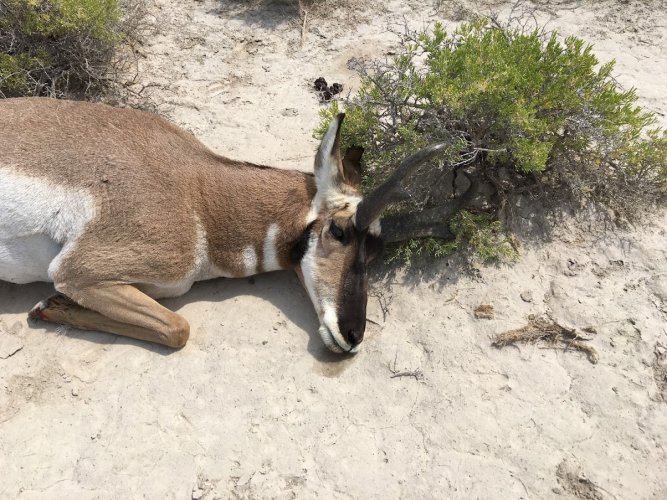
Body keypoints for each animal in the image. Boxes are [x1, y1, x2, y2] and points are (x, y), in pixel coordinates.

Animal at [1, 97, 448, 354]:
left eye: (375, 253)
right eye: (338, 231)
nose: (353, 335)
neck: (198, 190)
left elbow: (172, 324)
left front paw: (51, 305)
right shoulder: (79, 271)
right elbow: (178, 328)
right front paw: (50, 306)